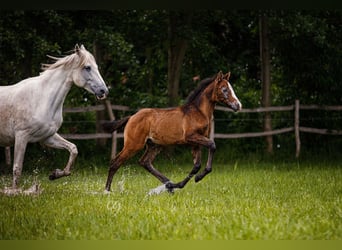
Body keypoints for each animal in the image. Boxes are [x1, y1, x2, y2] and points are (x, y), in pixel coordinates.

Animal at [0, 44, 108, 194]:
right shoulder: (21, 136)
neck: (41, 98)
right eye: (87, 67)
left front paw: (55, 174)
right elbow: (17, 168)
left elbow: (73, 149)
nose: (104, 91)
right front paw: (14, 192)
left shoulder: (47, 137)